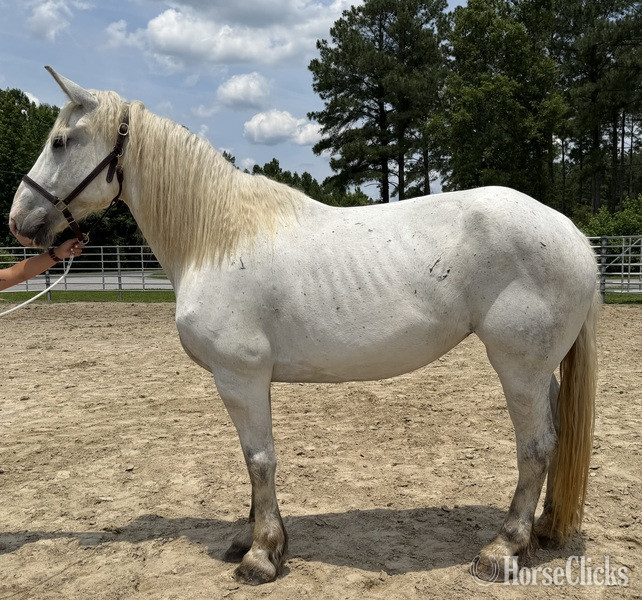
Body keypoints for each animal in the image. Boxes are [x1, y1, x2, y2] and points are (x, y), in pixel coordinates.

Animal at [9, 67, 598, 585]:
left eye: (60, 141)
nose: (18, 221)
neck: (216, 239)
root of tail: (571, 233)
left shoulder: (239, 376)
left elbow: (259, 459)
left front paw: (262, 556)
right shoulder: (248, 381)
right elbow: (253, 460)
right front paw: (249, 539)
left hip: (518, 367)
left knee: (536, 446)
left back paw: (505, 548)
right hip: (538, 370)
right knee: (553, 436)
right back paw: (543, 530)